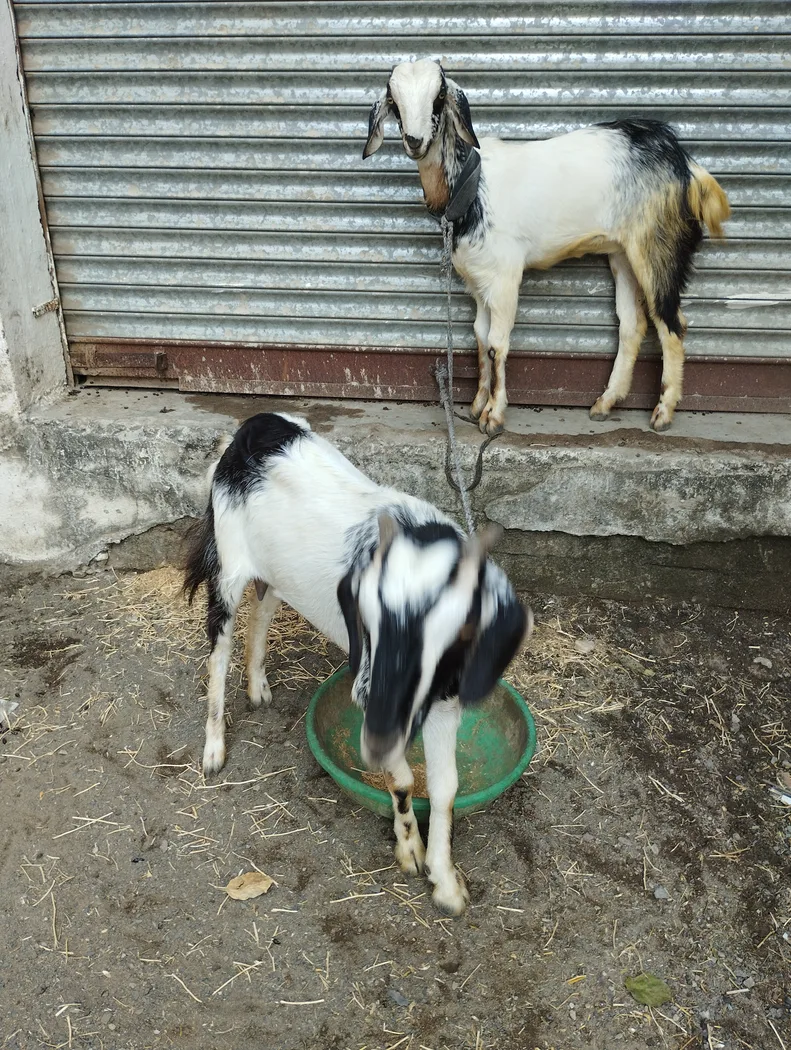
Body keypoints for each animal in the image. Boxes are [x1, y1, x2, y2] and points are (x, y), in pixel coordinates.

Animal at [184, 412, 531, 915]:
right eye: (367, 617)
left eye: (448, 636)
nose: (373, 700)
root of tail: (250, 427)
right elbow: (403, 780)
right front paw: (410, 851)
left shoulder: (445, 700)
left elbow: (445, 788)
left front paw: (446, 884)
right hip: (227, 567)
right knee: (219, 649)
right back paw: (214, 751)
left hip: (277, 573)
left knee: (262, 611)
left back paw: (258, 688)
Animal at [364, 58, 731, 435]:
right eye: (393, 99)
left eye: (439, 95)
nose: (415, 140)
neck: (471, 183)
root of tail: (682, 161)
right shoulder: (478, 280)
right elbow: (480, 336)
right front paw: (477, 403)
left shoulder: (505, 275)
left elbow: (496, 343)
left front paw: (493, 416)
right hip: (622, 252)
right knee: (633, 324)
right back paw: (605, 402)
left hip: (656, 242)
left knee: (671, 321)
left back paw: (663, 412)